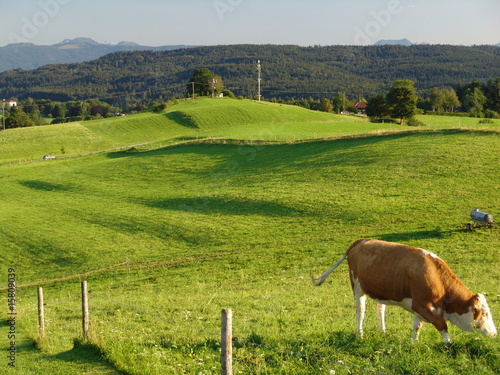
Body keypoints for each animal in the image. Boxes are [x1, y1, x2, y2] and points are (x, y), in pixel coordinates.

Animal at [312, 239, 496, 346]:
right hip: (357, 287)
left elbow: (417, 326)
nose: (495, 333)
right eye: (484, 314)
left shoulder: (420, 307)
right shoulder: (421, 305)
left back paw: (382, 331)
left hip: (381, 290)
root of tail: (364, 240)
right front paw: (448, 344)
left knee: (380, 309)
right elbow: (442, 324)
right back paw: (360, 335)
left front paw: (413, 343)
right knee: (361, 311)